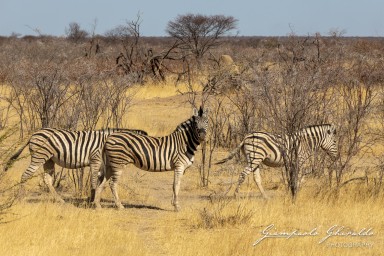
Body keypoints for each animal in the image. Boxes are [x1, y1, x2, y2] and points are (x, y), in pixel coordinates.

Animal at [3, 127, 148, 202]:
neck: (107, 142)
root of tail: (33, 134)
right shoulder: (95, 159)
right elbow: (94, 180)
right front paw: (92, 199)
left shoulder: (101, 164)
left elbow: (98, 180)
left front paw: (93, 197)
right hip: (39, 156)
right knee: (25, 175)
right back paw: (20, 196)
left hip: (49, 159)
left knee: (47, 179)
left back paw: (60, 200)